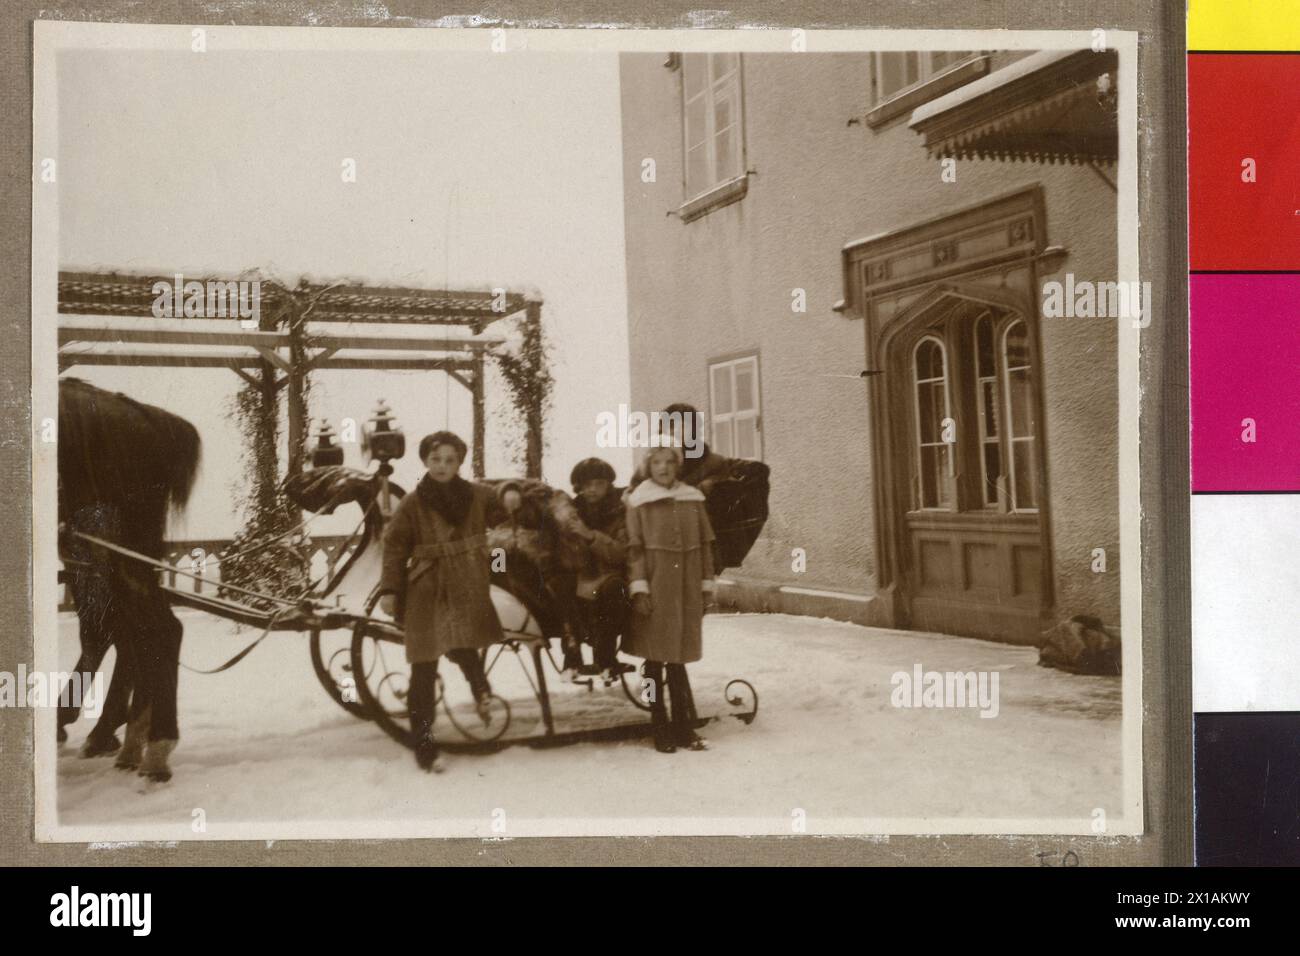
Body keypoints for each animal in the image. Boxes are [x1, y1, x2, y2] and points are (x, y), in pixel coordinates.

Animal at [58, 377, 200, 780]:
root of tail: (144, 414)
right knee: (128, 632)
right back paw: (127, 741)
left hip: (115, 549)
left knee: (151, 629)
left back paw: (153, 746)